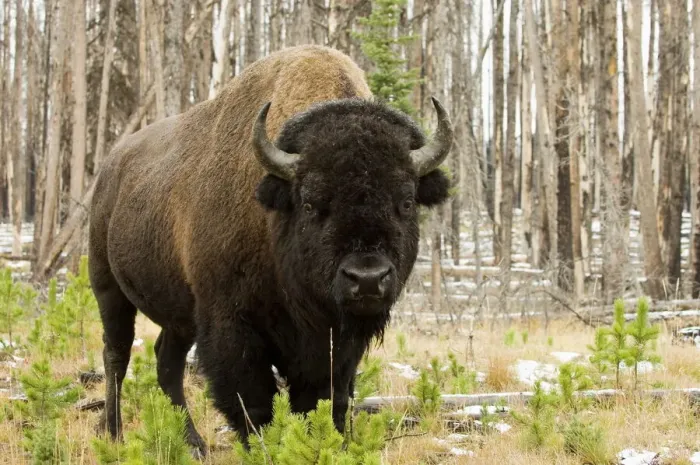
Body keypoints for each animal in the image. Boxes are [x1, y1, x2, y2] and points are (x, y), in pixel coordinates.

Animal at [88, 44, 453, 455]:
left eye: (406, 201)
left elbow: (327, 398)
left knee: (167, 360)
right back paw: (114, 432)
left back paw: (194, 442)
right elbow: (253, 400)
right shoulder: (231, 325)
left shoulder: (336, 345)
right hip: (108, 288)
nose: (368, 278)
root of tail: (110, 167)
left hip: (180, 314)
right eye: (310, 203)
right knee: (117, 355)